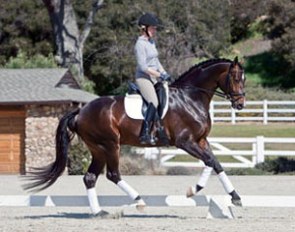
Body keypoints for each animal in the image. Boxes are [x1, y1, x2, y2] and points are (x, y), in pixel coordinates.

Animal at [24, 57, 247, 217]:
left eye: (244, 79)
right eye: (236, 78)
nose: (240, 104)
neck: (190, 98)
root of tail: (81, 112)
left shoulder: (201, 140)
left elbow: (215, 163)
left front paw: (234, 197)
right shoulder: (185, 142)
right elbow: (209, 161)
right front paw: (194, 189)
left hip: (98, 149)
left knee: (90, 177)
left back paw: (99, 212)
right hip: (110, 145)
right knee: (113, 174)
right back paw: (139, 201)